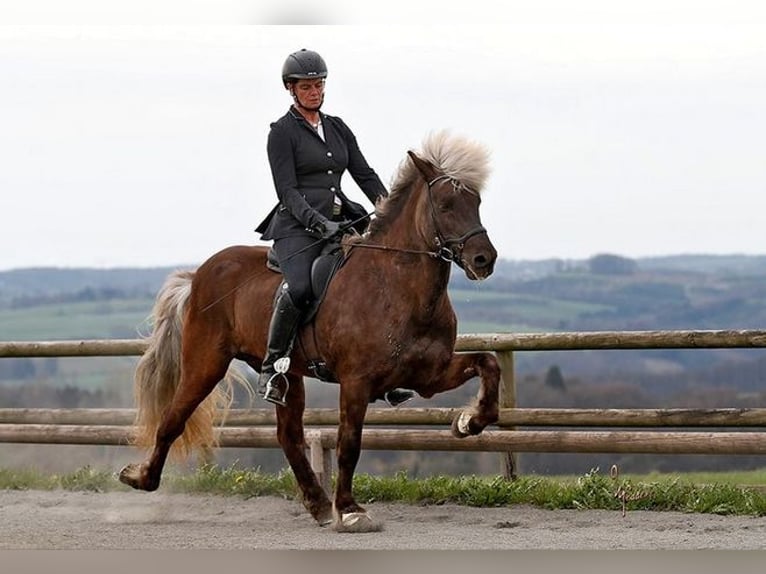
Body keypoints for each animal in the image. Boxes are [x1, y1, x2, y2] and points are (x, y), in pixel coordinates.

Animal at [118, 130, 502, 532]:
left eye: (476, 201)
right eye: (445, 205)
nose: (484, 260)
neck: (396, 286)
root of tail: (198, 275)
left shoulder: (429, 375)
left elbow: (489, 364)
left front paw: (468, 422)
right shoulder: (356, 381)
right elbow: (349, 443)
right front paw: (350, 510)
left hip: (286, 374)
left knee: (287, 436)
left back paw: (318, 504)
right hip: (205, 363)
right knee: (173, 418)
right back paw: (141, 478)